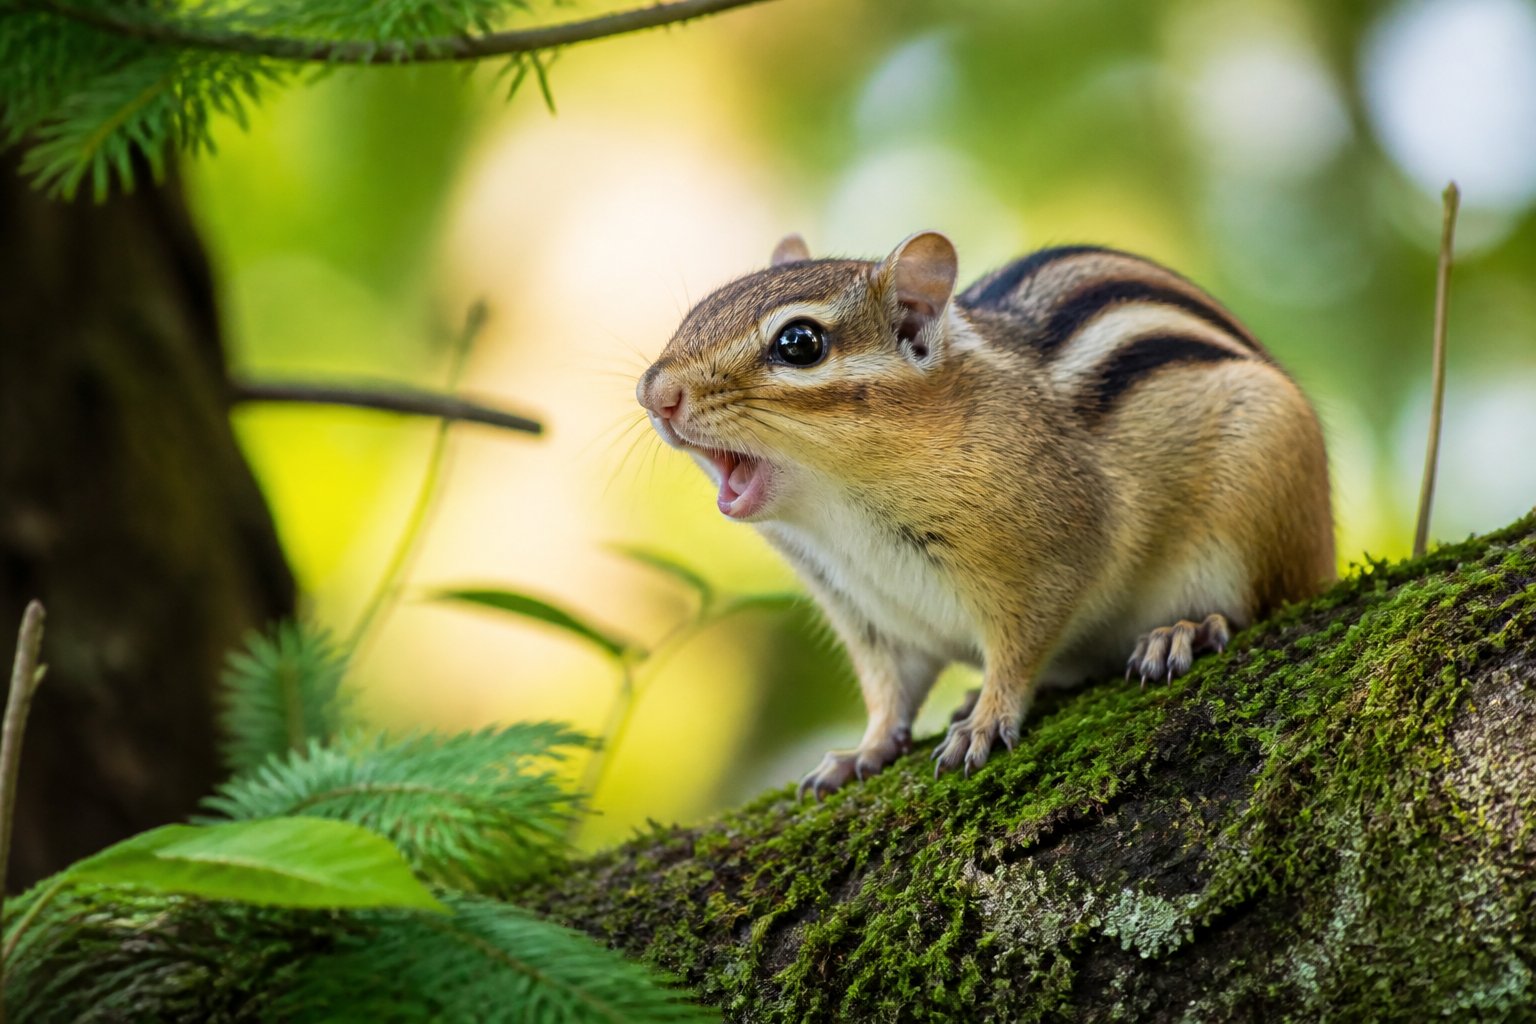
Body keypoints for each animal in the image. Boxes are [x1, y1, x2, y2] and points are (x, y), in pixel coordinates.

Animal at [636, 232, 1335, 799]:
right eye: (696, 312)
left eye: (799, 343)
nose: (654, 393)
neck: (842, 518)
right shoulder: (867, 615)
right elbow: (889, 693)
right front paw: (864, 750)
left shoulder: (1048, 559)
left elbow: (1019, 650)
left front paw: (988, 719)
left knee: (1260, 602)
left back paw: (1183, 630)